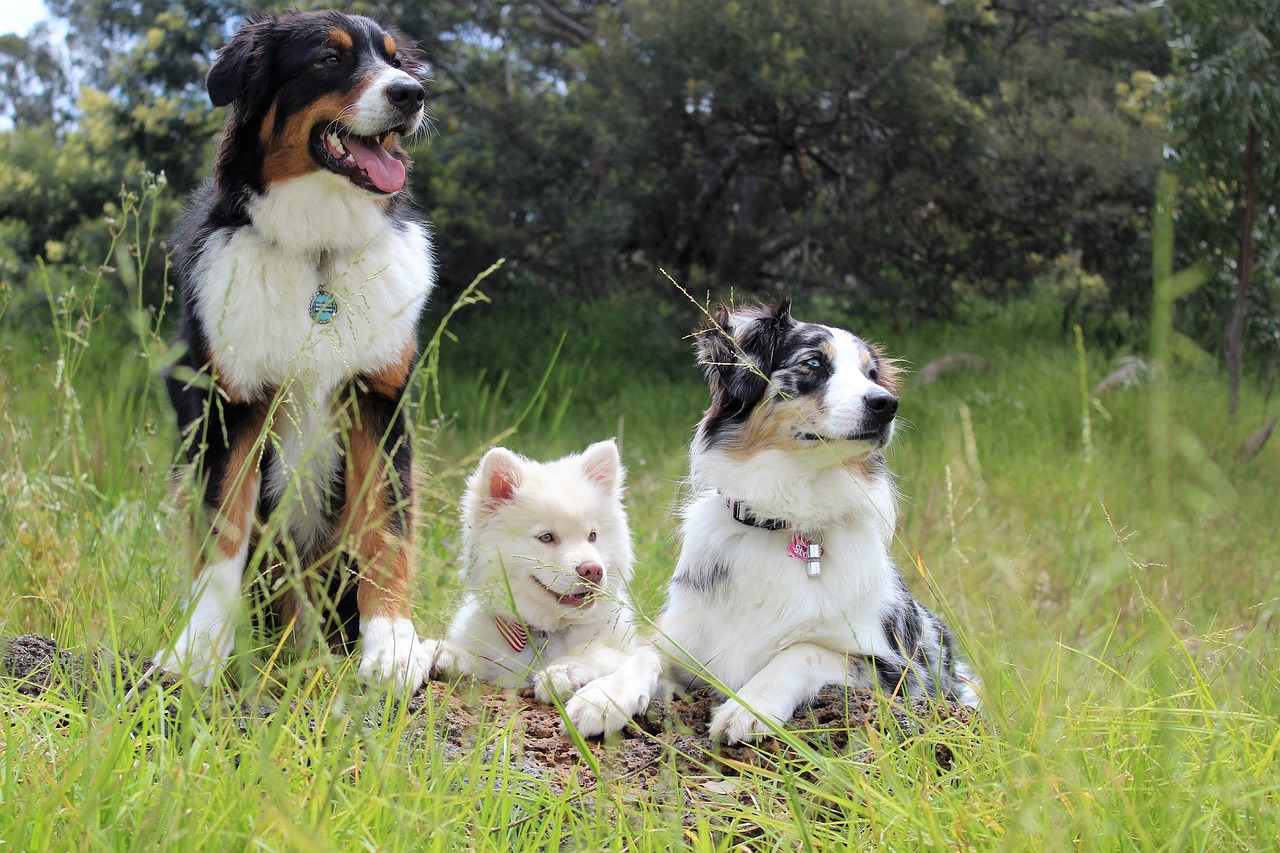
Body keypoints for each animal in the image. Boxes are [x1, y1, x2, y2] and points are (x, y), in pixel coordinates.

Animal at [151, 11, 435, 691]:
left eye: (396, 61)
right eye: (328, 61)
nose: (412, 95)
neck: (319, 256)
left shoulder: (376, 401)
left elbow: (386, 533)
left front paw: (392, 647)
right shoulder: (230, 407)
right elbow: (222, 537)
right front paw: (197, 652)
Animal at [422, 438, 660, 732]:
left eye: (592, 535)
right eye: (546, 537)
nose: (593, 570)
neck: (543, 632)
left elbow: (619, 659)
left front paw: (567, 671)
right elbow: (476, 659)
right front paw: (445, 653)